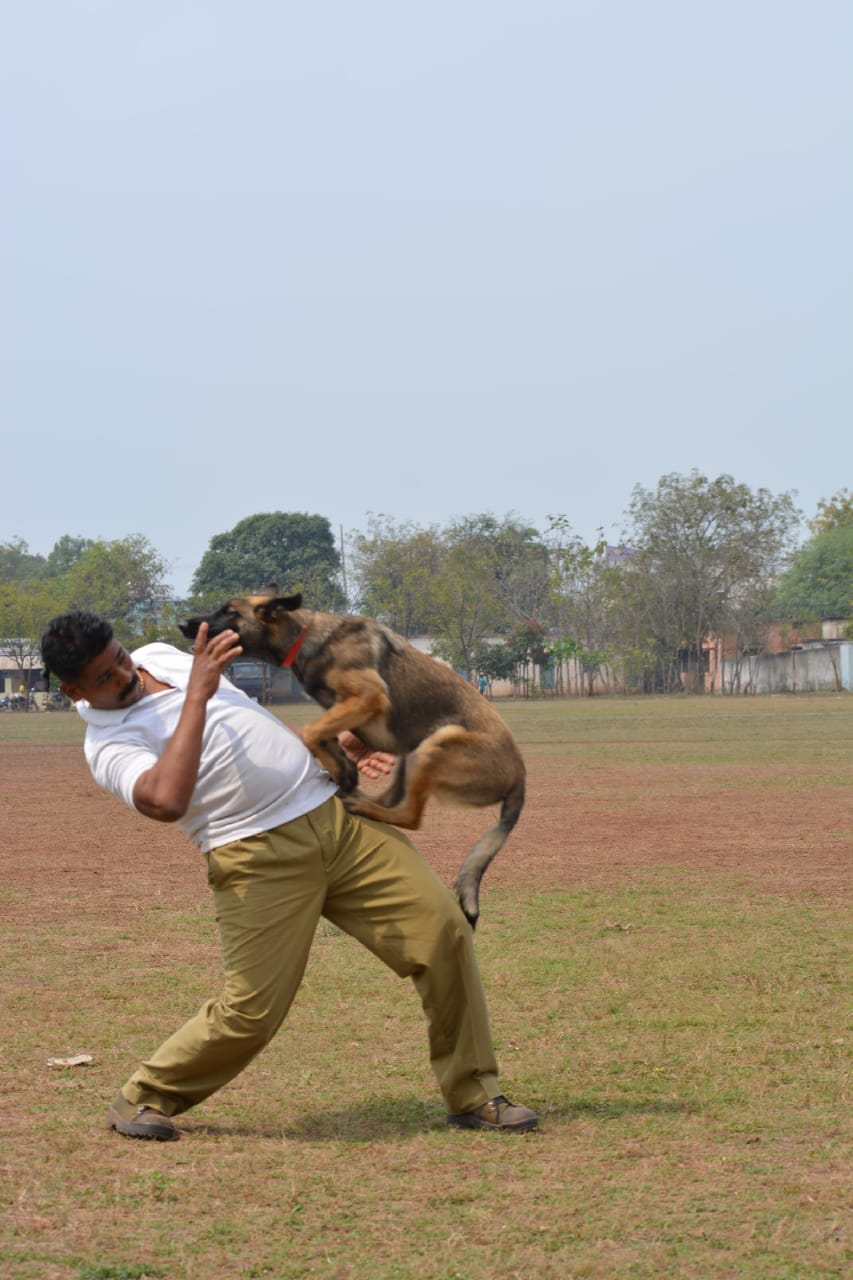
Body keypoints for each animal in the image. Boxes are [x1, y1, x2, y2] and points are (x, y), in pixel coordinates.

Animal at [180, 588, 525, 931]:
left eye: (229, 611)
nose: (183, 624)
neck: (305, 636)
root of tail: (519, 777)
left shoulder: (369, 697)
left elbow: (311, 731)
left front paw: (339, 766)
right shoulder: (342, 708)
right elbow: (323, 735)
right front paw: (342, 765)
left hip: (435, 744)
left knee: (410, 816)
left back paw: (361, 802)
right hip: (411, 755)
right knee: (392, 800)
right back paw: (357, 795)